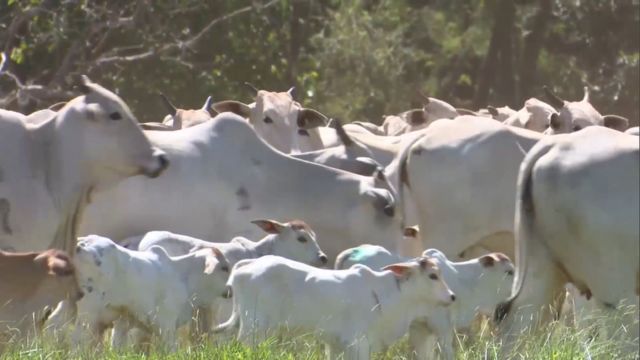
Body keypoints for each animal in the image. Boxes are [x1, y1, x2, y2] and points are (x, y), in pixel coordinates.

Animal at [215, 255, 456, 360]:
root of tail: (248, 264)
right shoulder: (359, 343)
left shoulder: (337, 345)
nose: (452, 296)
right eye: (433, 275)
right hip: (255, 329)